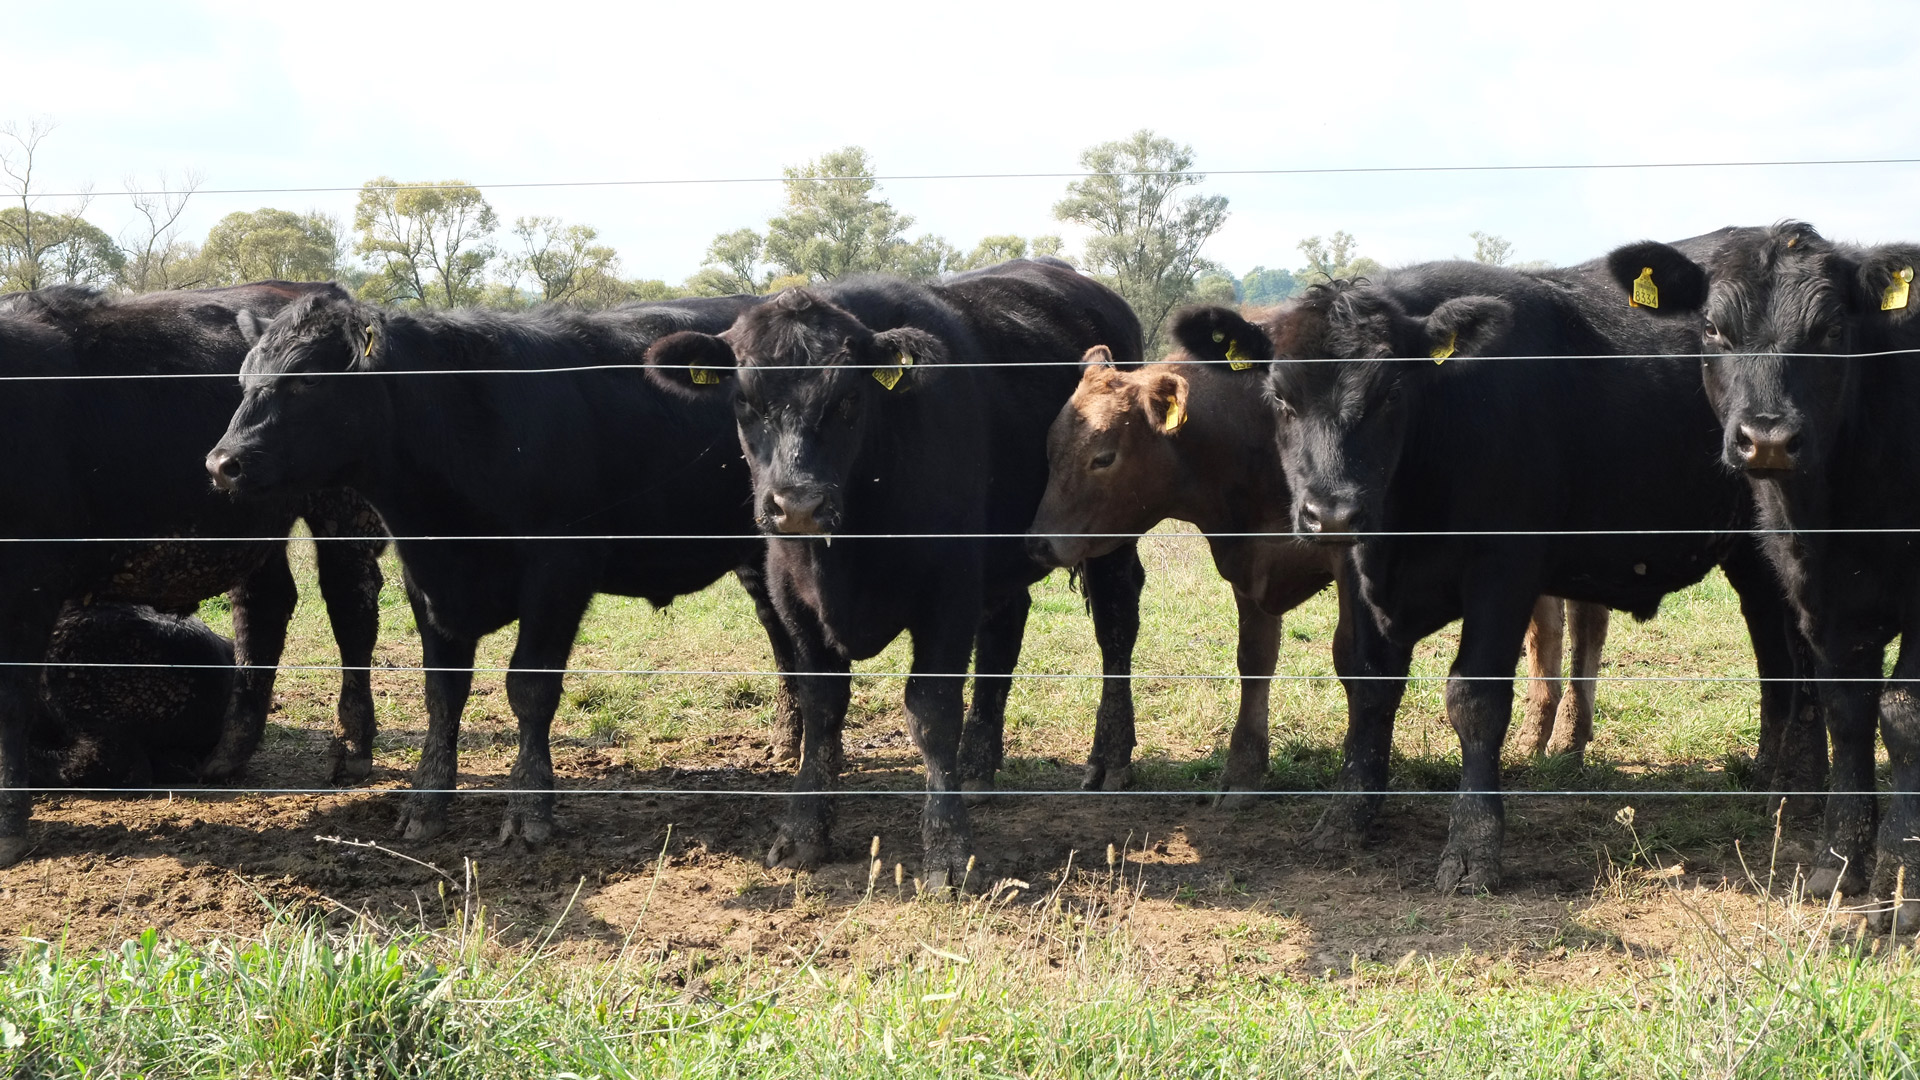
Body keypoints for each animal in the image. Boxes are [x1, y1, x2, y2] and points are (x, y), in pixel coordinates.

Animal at [0, 282, 389, 860]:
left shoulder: (27, 582)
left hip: (340, 507)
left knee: (350, 602)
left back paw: (357, 745)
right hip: (253, 523)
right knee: (264, 608)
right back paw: (228, 755)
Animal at [210, 290, 810, 845]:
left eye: (308, 378)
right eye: (242, 379)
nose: (222, 464)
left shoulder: (559, 570)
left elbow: (530, 688)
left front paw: (528, 809)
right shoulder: (426, 579)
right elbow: (442, 693)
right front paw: (425, 803)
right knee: (782, 637)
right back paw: (788, 741)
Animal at [652, 259, 1144, 883]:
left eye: (849, 398)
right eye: (743, 400)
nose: (799, 505)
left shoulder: (947, 593)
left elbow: (931, 711)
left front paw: (949, 851)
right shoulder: (793, 598)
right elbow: (821, 708)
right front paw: (803, 832)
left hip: (1112, 535)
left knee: (1115, 624)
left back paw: (1109, 758)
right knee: (1005, 632)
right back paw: (978, 768)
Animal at [1221, 253, 1820, 891]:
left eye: (1391, 392)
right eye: (1280, 397)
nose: (1332, 511)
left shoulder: (1504, 568)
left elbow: (1476, 698)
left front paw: (1473, 845)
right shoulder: (1360, 569)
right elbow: (1368, 684)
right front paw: (1345, 817)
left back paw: (1796, 793)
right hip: (1751, 563)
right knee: (1774, 659)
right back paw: (1768, 777)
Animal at [1605, 220, 1920, 926]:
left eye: (1830, 330)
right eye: (1713, 328)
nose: (1768, 439)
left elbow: (1903, 716)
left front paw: (1904, 879)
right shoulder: (1823, 603)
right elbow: (1847, 715)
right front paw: (1840, 864)